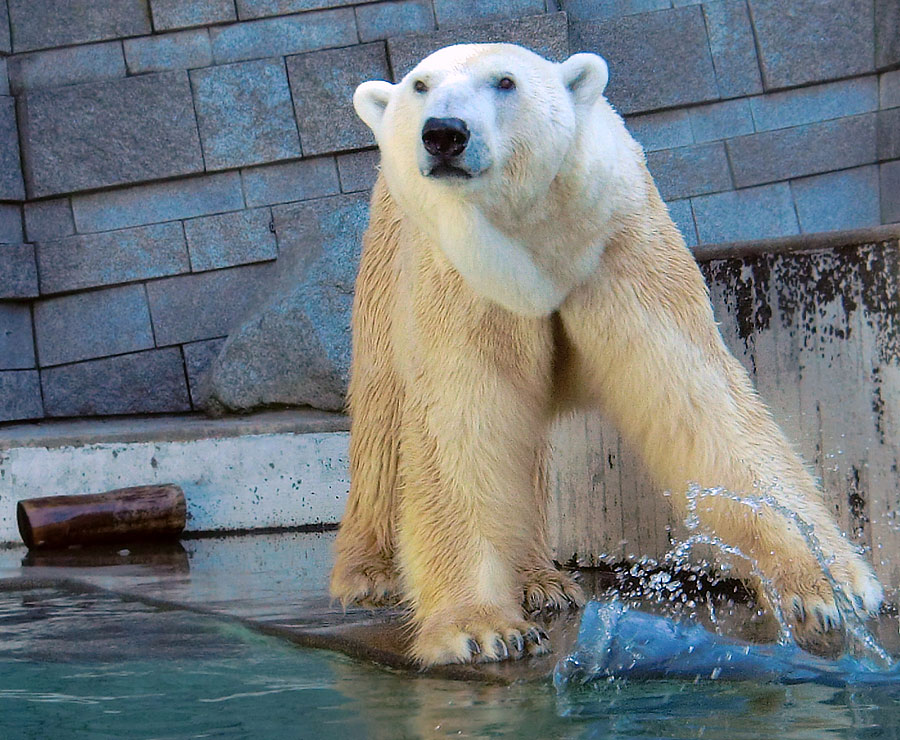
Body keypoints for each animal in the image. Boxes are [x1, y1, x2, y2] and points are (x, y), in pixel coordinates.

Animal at [326, 42, 884, 664]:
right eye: (420, 85)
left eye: (505, 81)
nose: (444, 133)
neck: (534, 246)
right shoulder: (463, 277)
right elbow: (464, 418)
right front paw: (483, 630)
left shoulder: (622, 249)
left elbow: (703, 405)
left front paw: (830, 589)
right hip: (386, 266)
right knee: (384, 419)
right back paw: (371, 577)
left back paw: (543, 582)